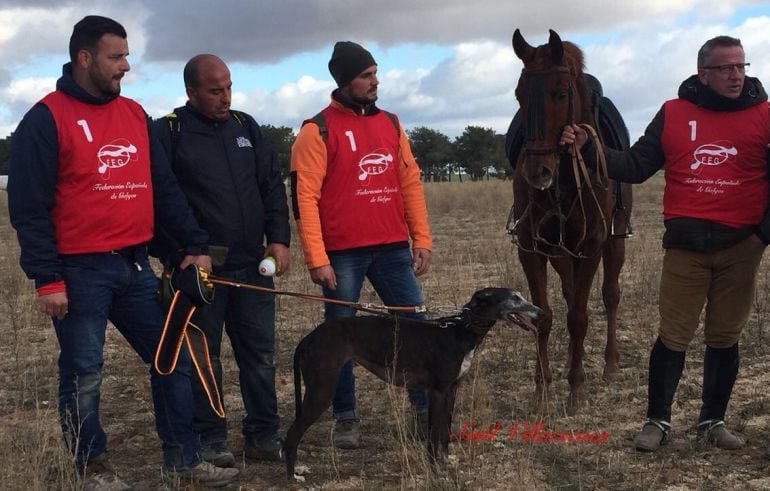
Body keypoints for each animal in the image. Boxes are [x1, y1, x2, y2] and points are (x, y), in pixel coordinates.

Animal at [282, 288, 540, 480]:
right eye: (514, 298)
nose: (540, 311)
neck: (459, 330)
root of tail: (308, 338)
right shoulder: (437, 392)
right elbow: (434, 437)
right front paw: (436, 472)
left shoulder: (451, 391)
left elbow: (443, 434)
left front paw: (445, 464)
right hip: (322, 390)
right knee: (292, 435)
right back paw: (292, 476)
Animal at [508, 29, 628, 416]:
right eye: (519, 94)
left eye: (560, 93)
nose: (536, 172)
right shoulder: (531, 249)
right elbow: (543, 315)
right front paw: (542, 387)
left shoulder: (591, 248)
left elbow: (578, 317)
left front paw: (576, 389)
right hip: (561, 254)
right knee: (571, 292)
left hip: (614, 242)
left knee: (609, 296)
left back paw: (609, 363)